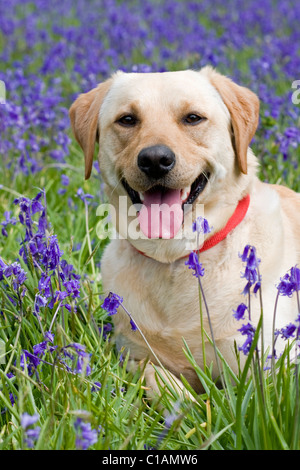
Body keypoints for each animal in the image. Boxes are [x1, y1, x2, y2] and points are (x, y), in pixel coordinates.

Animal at [69, 67, 300, 392]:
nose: (155, 160)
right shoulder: (133, 354)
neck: (174, 256)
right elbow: (155, 376)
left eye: (192, 118)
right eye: (127, 119)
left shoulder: (270, 371)